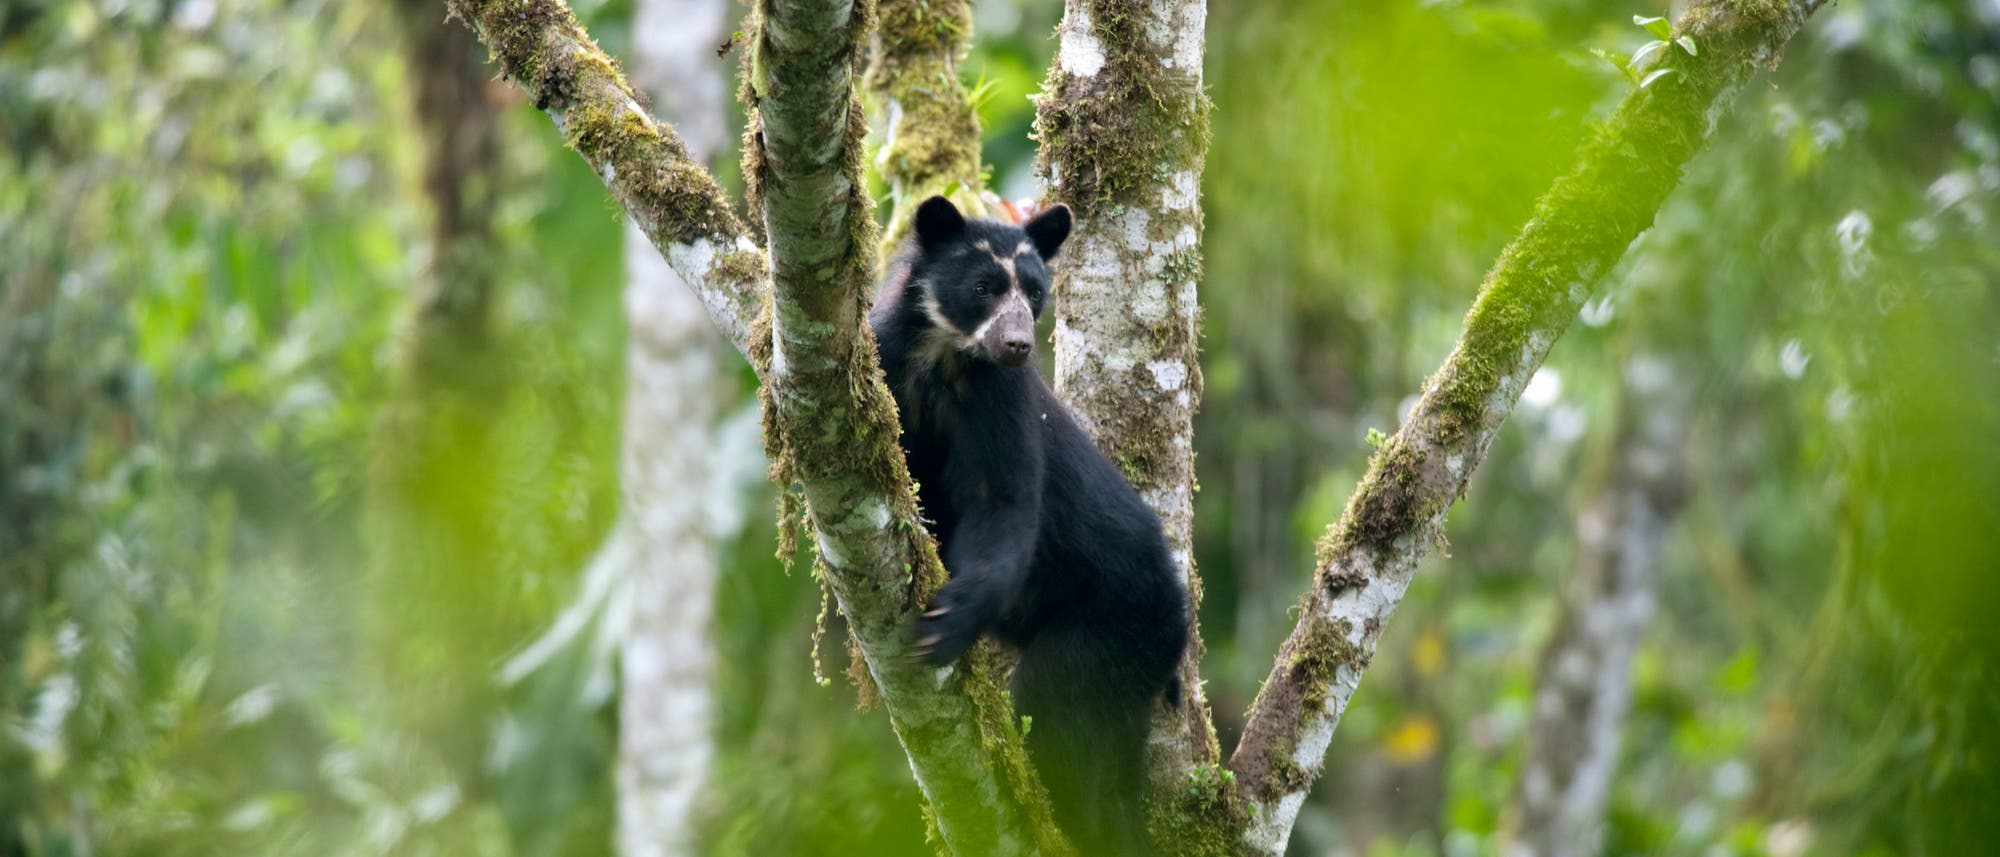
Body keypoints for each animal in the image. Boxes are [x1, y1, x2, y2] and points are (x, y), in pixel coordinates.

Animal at [872, 196, 1184, 857]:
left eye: (1036, 292)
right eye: (984, 288)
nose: (1016, 344)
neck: (942, 360)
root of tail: (1178, 622)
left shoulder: (1001, 400)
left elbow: (1006, 504)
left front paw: (944, 623)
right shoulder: (884, 362)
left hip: (1109, 633)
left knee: (1056, 709)